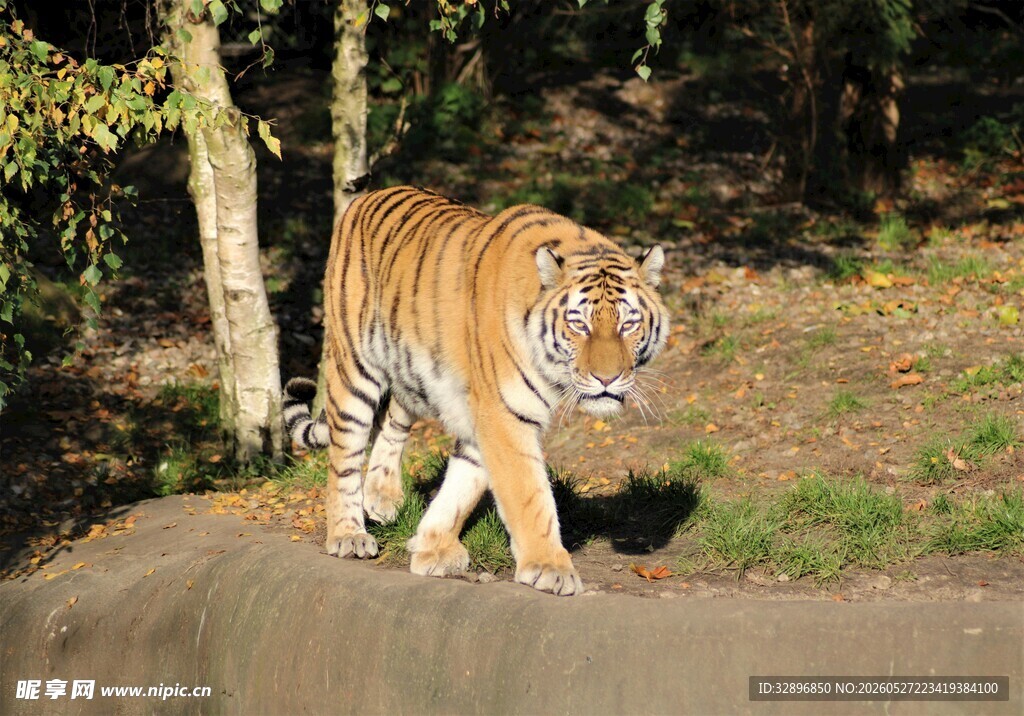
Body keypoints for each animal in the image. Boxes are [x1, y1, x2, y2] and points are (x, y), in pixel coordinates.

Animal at [283, 186, 669, 596]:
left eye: (628, 324)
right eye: (579, 324)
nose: (607, 378)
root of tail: (366, 195)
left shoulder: (484, 415)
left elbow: (463, 484)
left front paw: (432, 547)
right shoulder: (504, 413)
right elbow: (528, 494)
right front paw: (550, 567)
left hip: (410, 371)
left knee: (393, 423)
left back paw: (382, 497)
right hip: (354, 365)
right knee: (345, 453)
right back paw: (348, 535)